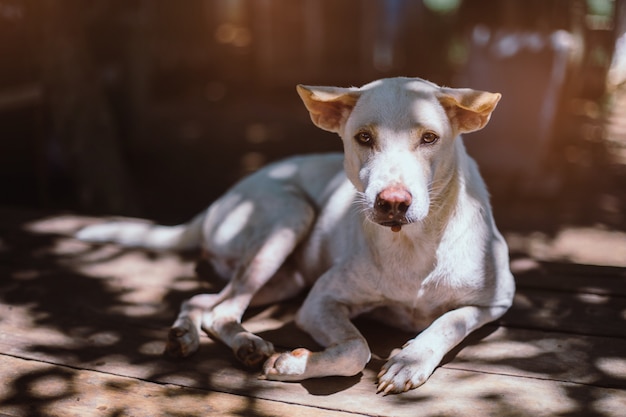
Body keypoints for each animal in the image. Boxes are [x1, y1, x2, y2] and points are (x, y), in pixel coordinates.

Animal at [77, 77, 512, 394]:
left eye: (429, 138)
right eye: (364, 138)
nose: (392, 202)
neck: (414, 245)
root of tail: (223, 197)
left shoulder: (495, 301)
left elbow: (451, 321)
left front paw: (410, 360)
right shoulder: (320, 300)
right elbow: (356, 349)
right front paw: (293, 363)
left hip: (287, 276)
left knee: (204, 301)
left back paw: (193, 335)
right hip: (288, 220)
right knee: (220, 307)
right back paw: (243, 345)